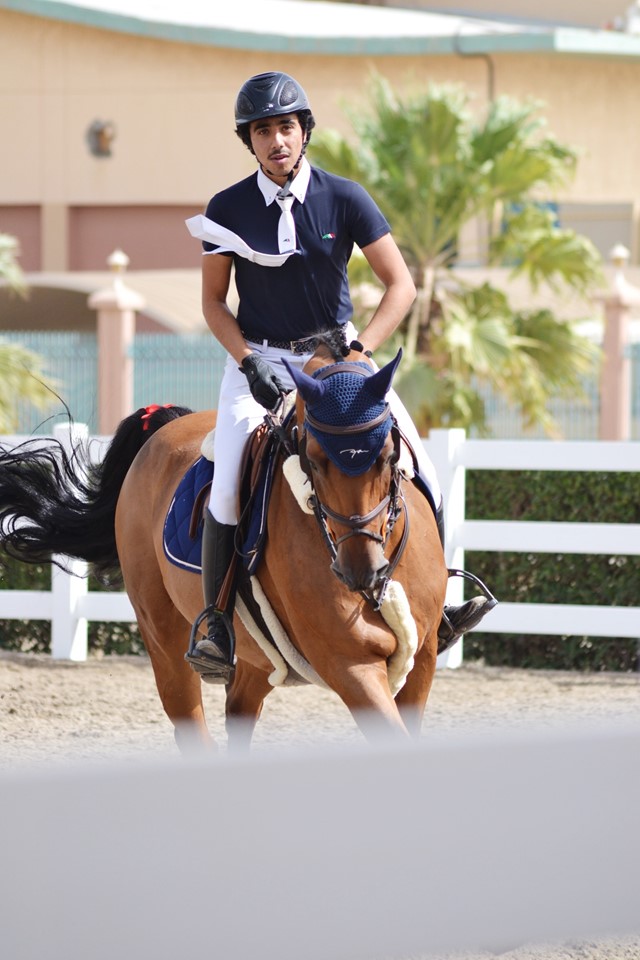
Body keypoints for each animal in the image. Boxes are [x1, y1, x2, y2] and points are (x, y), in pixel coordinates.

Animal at [0, 343, 448, 751]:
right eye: (314, 461)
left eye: (389, 456)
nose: (363, 572)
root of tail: (164, 428)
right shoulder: (348, 663)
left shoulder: (422, 657)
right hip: (163, 638)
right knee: (190, 723)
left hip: (259, 658)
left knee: (239, 709)